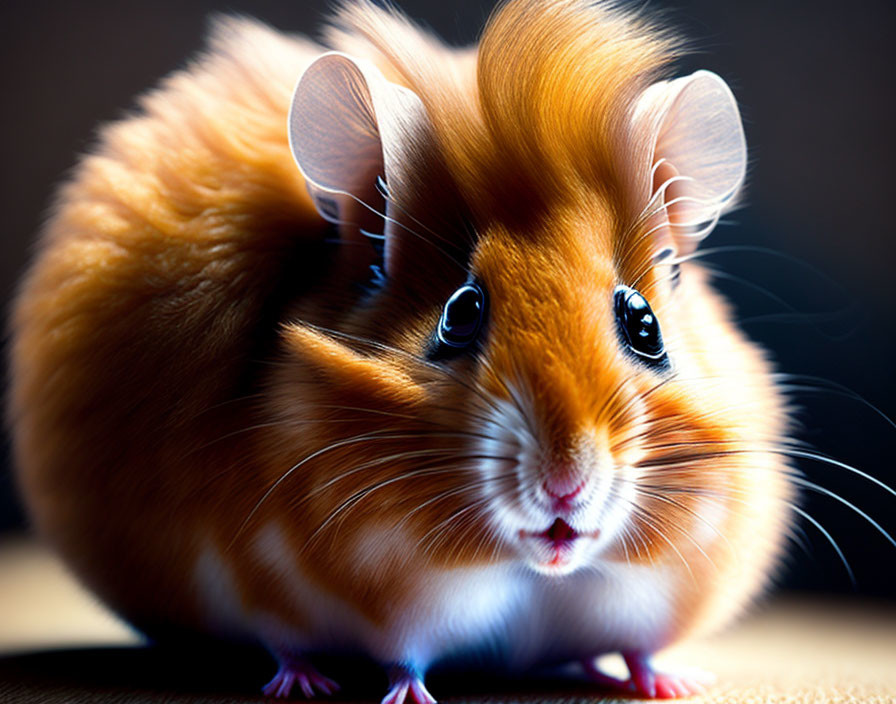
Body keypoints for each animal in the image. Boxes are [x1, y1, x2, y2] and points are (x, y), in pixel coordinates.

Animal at [7, 0, 792, 700]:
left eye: (645, 327)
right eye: (460, 314)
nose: (565, 484)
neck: (529, 570)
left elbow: (638, 647)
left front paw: (672, 682)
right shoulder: (365, 599)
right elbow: (400, 656)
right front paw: (401, 695)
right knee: (284, 644)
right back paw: (302, 683)